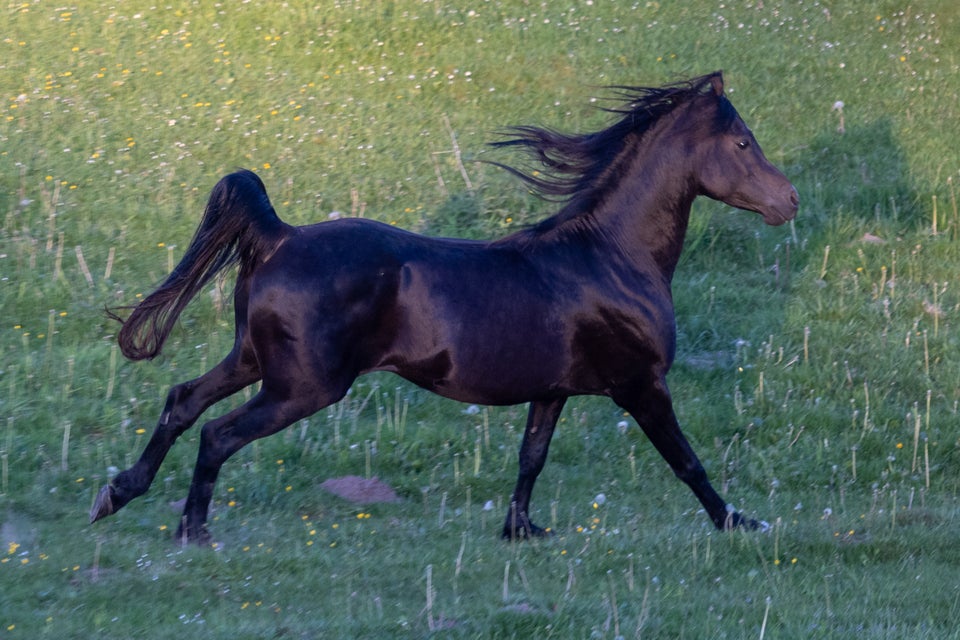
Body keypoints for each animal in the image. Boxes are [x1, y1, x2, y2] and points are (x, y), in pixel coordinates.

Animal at [90, 72, 800, 544]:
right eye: (742, 143)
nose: (788, 201)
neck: (611, 258)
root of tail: (279, 236)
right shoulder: (639, 385)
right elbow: (687, 460)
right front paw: (741, 521)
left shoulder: (552, 391)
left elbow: (531, 458)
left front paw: (521, 530)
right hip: (302, 386)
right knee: (217, 432)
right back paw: (192, 531)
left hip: (254, 361)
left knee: (183, 400)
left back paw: (115, 494)